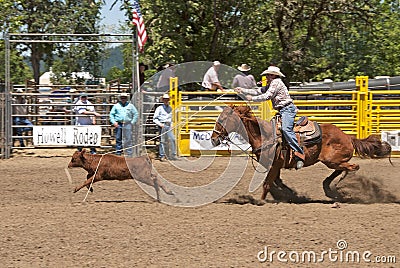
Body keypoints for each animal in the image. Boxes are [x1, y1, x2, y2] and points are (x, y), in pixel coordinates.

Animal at [211, 105, 392, 201]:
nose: (213, 139)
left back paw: (339, 188)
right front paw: (290, 194)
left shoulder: (275, 164)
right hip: (332, 161)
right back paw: (328, 188)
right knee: (343, 168)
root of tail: (348, 136)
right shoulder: (275, 166)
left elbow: (268, 183)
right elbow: (276, 182)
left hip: (331, 160)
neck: (265, 135)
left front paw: (260, 201)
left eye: (223, 120)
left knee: (353, 167)